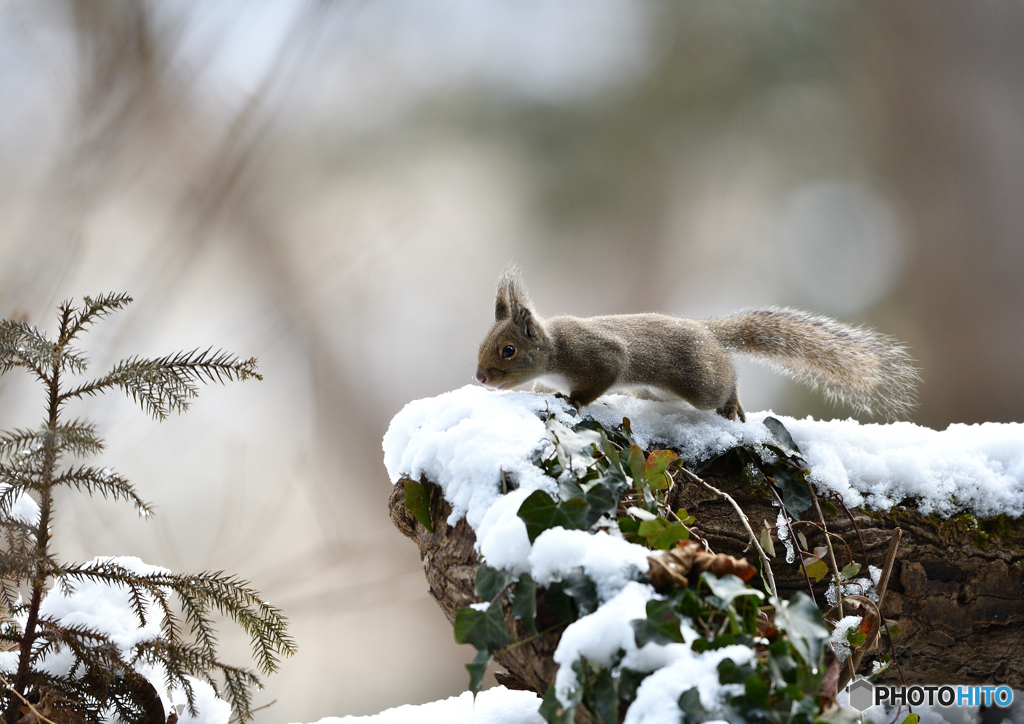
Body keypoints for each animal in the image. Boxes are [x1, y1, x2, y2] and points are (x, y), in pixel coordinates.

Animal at [475, 268, 917, 421]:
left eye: (508, 351)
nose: (480, 378)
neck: (554, 351)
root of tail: (707, 332)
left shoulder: (598, 355)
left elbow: (605, 372)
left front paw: (575, 401)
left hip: (699, 382)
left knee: (725, 383)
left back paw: (732, 404)